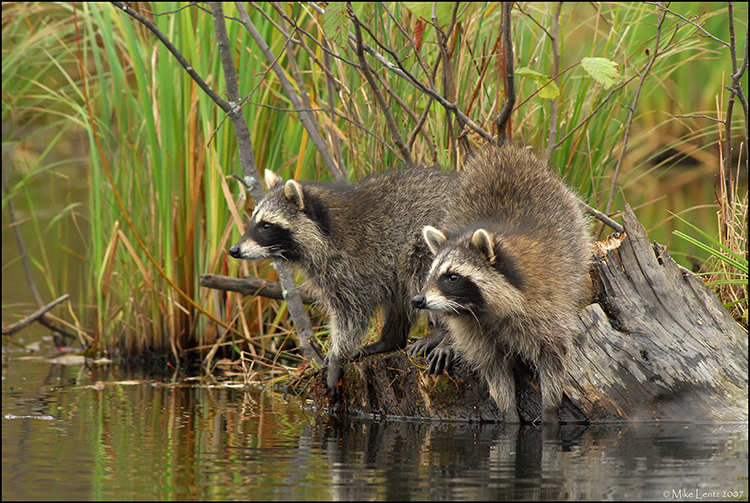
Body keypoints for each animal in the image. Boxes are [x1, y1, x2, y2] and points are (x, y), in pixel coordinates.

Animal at [229, 168, 452, 402]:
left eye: (266, 225)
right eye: (253, 222)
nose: (234, 250)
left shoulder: (350, 267)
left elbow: (351, 314)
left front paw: (337, 354)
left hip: (430, 241)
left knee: (419, 268)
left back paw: (439, 333)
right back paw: (391, 338)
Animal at [412, 147, 592, 426]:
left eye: (452, 277)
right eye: (431, 274)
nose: (418, 300)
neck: (480, 310)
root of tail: (503, 152)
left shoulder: (545, 307)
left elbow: (553, 358)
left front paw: (550, 409)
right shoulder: (475, 331)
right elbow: (494, 370)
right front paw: (509, 415)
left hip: (575, 230)